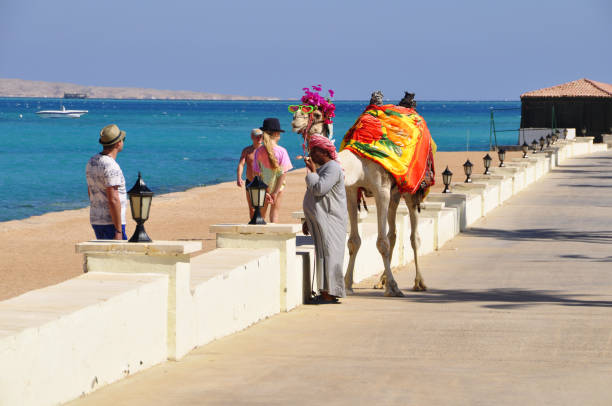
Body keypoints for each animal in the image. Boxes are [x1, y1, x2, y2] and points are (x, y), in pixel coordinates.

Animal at [290, 90, 426, 296]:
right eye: (298, 107)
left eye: (317, 114)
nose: (295, 119)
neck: (359, 164)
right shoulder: (352, 191)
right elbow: (354, 241)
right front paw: (347, 283)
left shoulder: (381, 190)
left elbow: (381, 243)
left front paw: (394, 287)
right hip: (394, 194)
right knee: (393, 233)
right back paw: (381, 281)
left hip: (411, 188)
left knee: (413, 235)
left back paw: (419, 282)